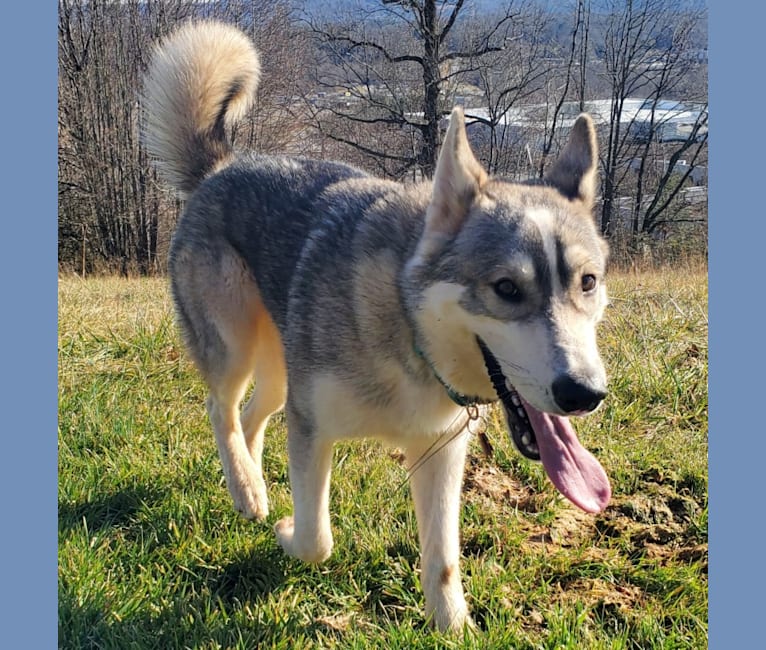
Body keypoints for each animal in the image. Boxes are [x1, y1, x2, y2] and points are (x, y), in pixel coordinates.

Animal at [142, 21, 612, 632]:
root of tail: (221, 167)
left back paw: (250, 479)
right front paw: (286, 531)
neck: (410, 335)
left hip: (279, 375)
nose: (585, 393)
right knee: (220, 409)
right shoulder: (312, 426)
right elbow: (317, 537)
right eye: (507, 289)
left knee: (248, 418)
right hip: (236, 350)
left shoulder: (440, 451)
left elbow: (443, 559)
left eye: (587, 282)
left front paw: (452, 626)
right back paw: (248, 492)